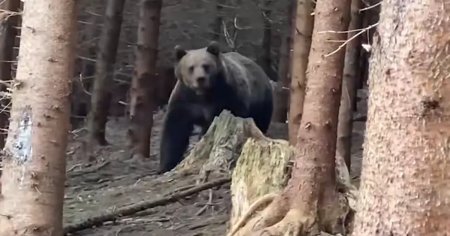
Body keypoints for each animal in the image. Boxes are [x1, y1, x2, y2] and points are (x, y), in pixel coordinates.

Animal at [160, 41, 272, 173]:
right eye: (191, 67)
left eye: (206, 66)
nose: (200, 79)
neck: (203, 95)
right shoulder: (185, 100)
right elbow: (175, 129)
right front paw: (166, 165)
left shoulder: (226, 97)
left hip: (262, 102)